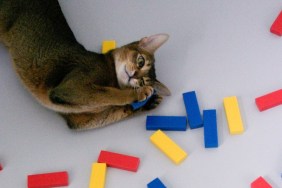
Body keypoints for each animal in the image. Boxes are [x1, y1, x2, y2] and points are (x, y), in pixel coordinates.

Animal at [0, 0, 170, 130]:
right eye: (140, 61)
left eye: (143, 80)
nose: (134, 76)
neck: (112, 77)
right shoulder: (72, 88)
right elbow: (110, 94)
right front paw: (140, 94)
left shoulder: (78, 120)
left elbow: (115, 110)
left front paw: (148, 104)